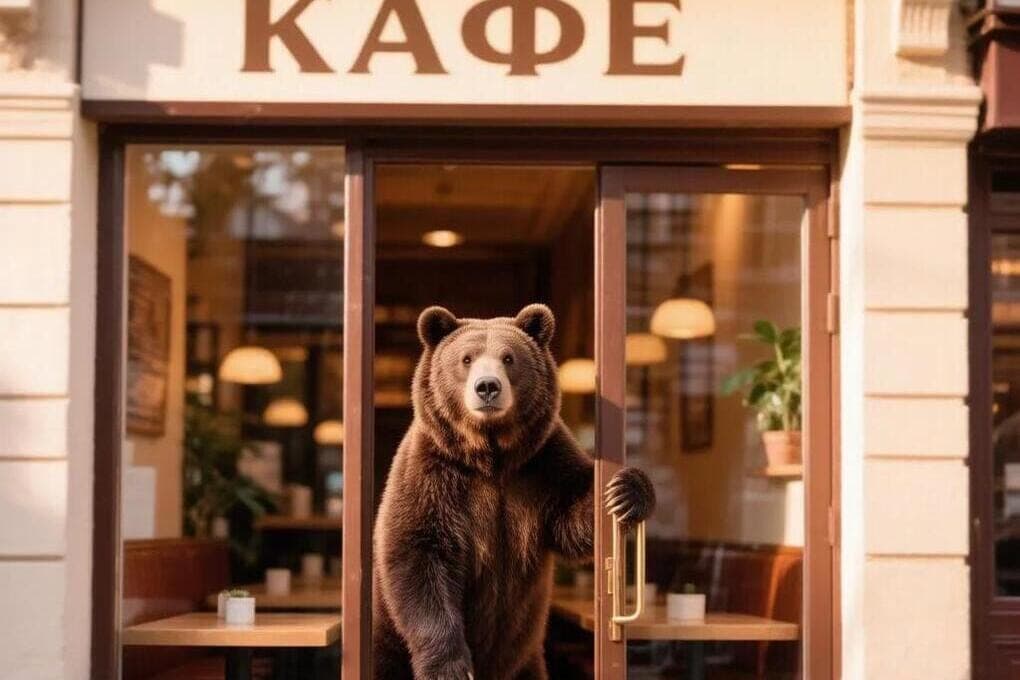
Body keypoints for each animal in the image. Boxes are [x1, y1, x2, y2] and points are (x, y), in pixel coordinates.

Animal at [372, 304, 656, 680]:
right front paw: (451, 667)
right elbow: (419, 553)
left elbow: (573, 516)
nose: (487, 387)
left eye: (508, 357)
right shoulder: (433, 471)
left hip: (525, 656)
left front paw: (624, 492)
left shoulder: (541, 466)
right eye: (466, 358)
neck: (492, 455)